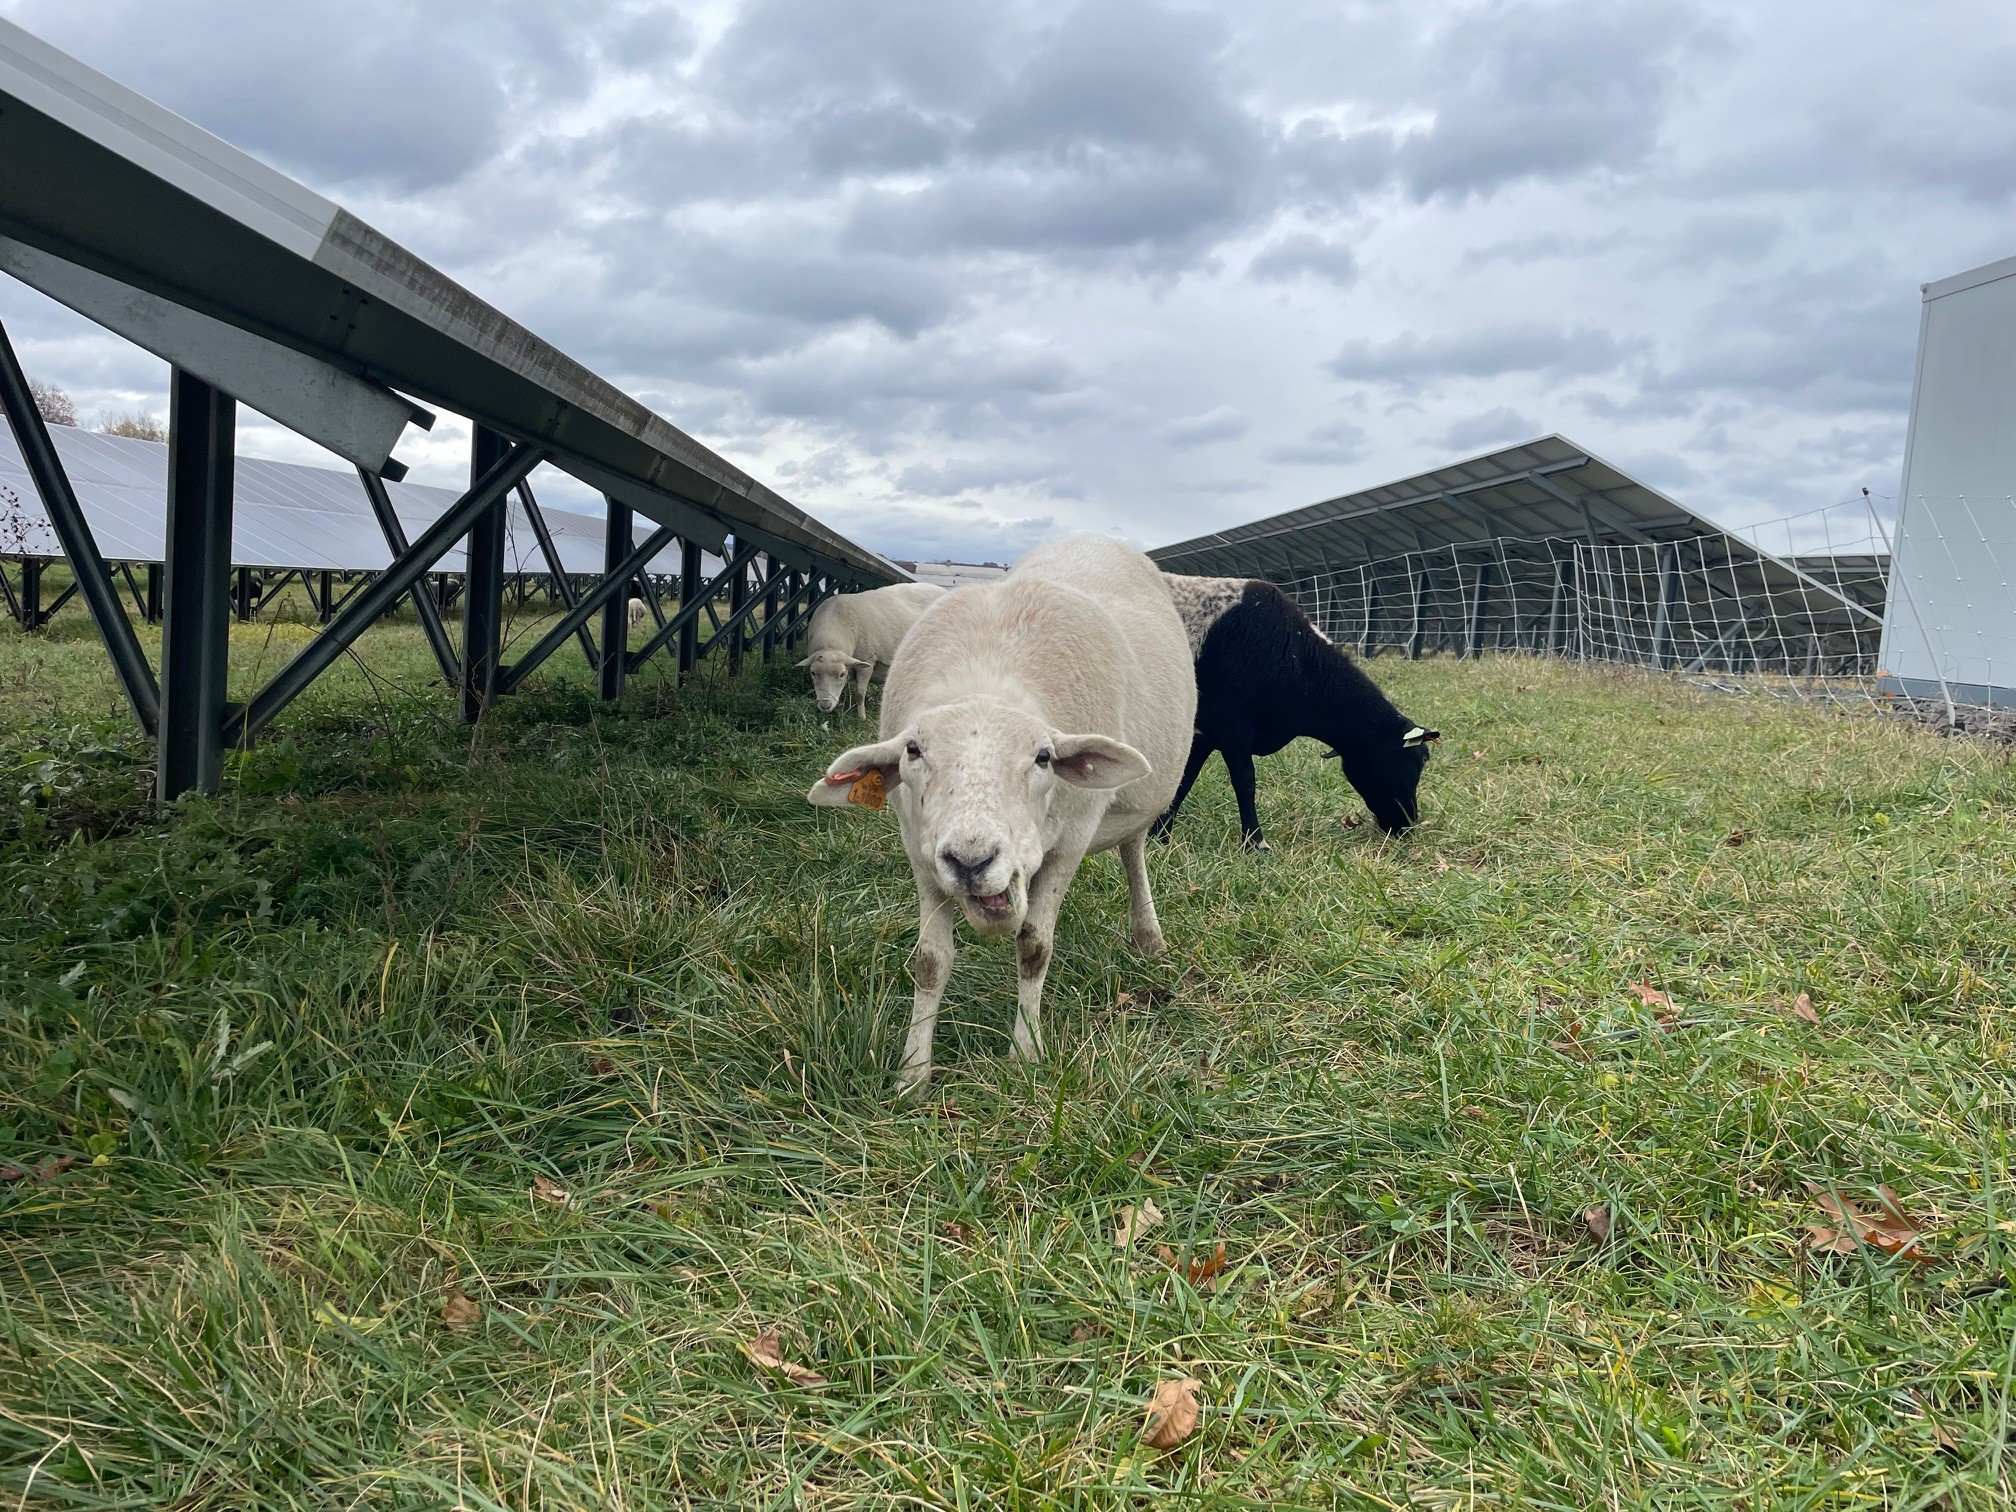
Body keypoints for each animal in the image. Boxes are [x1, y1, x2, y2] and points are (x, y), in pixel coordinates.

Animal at [799, 582, 946, 716]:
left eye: (841, 674)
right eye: (813, 673)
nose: (825, 705)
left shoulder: (868, 662)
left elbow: (860, 693)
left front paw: (861, 717)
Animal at [1155, 575, 1438, 849]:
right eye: (1417, 760)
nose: (1407, 825)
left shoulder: (1206, 732)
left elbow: (1185, 780)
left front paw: (1160, 836)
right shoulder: (1232, 723)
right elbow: (1245, 781)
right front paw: (1256, 843)